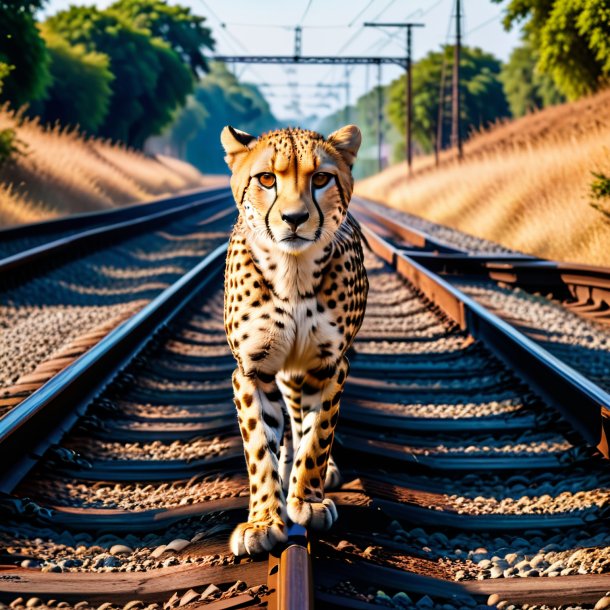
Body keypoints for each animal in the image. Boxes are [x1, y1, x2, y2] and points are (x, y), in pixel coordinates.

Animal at [221, 123, 368, 556]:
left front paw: (307, 501)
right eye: (267, 179)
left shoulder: (329, 364)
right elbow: (259, 446)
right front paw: (262, 521)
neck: (293, 272)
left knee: (302, 420)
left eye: (320, 179)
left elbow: (318, 433)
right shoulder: (252, 369)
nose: (295, 218)